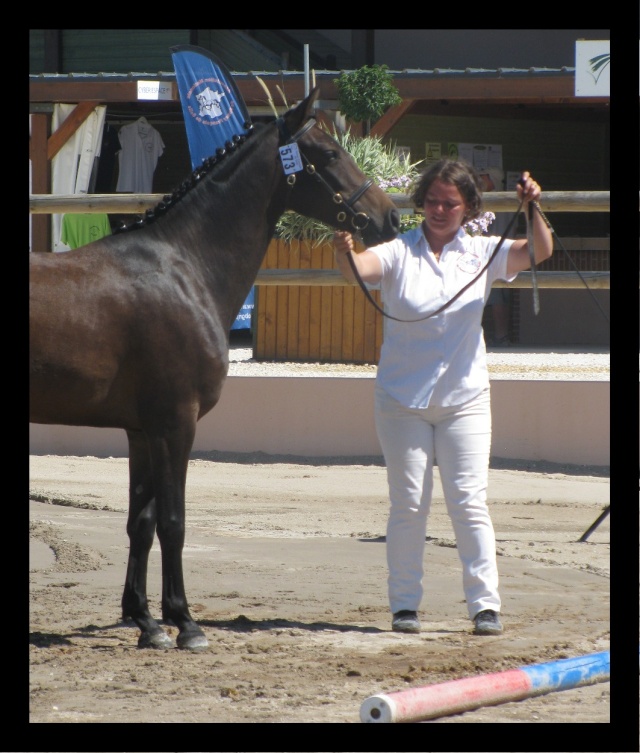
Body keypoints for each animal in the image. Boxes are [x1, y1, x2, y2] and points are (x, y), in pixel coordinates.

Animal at [31, 88, 400, 648]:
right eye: (330, 153)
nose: (390, 219)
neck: (184, 267)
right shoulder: (175, 424)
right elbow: (173, 521)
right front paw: (184, 622)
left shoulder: (141, 431)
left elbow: (141, 521)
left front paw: (144, 620)